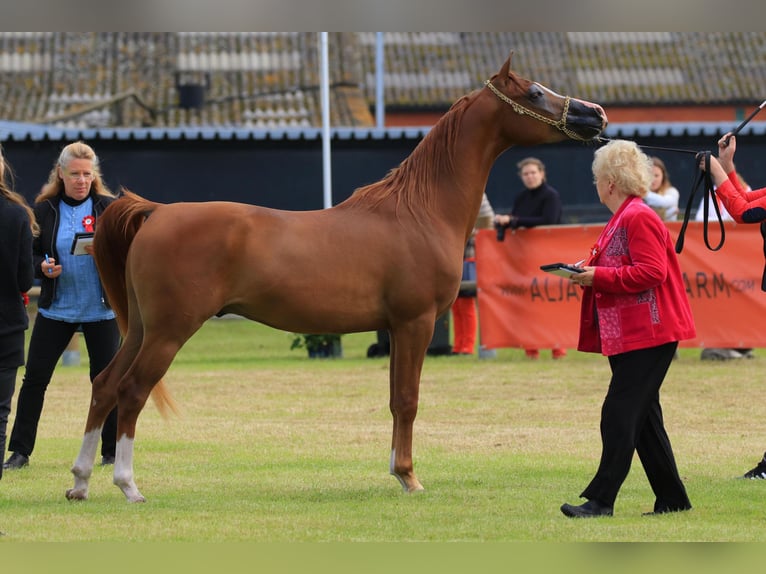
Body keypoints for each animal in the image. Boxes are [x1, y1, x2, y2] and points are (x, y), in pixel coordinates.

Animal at [66, 53, 607, 503]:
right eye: (533, 92)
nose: (596, 114)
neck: (419, 210)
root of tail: (156, 212)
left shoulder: (395, 329)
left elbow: (394, 401)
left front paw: (397, 472)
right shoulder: (415, 323)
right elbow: (408, 400)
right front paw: (410, 478)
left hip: (140, 328)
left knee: (105, 384)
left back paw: (80, 482)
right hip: (169, 331)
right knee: (132, 390)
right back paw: (128, 485)